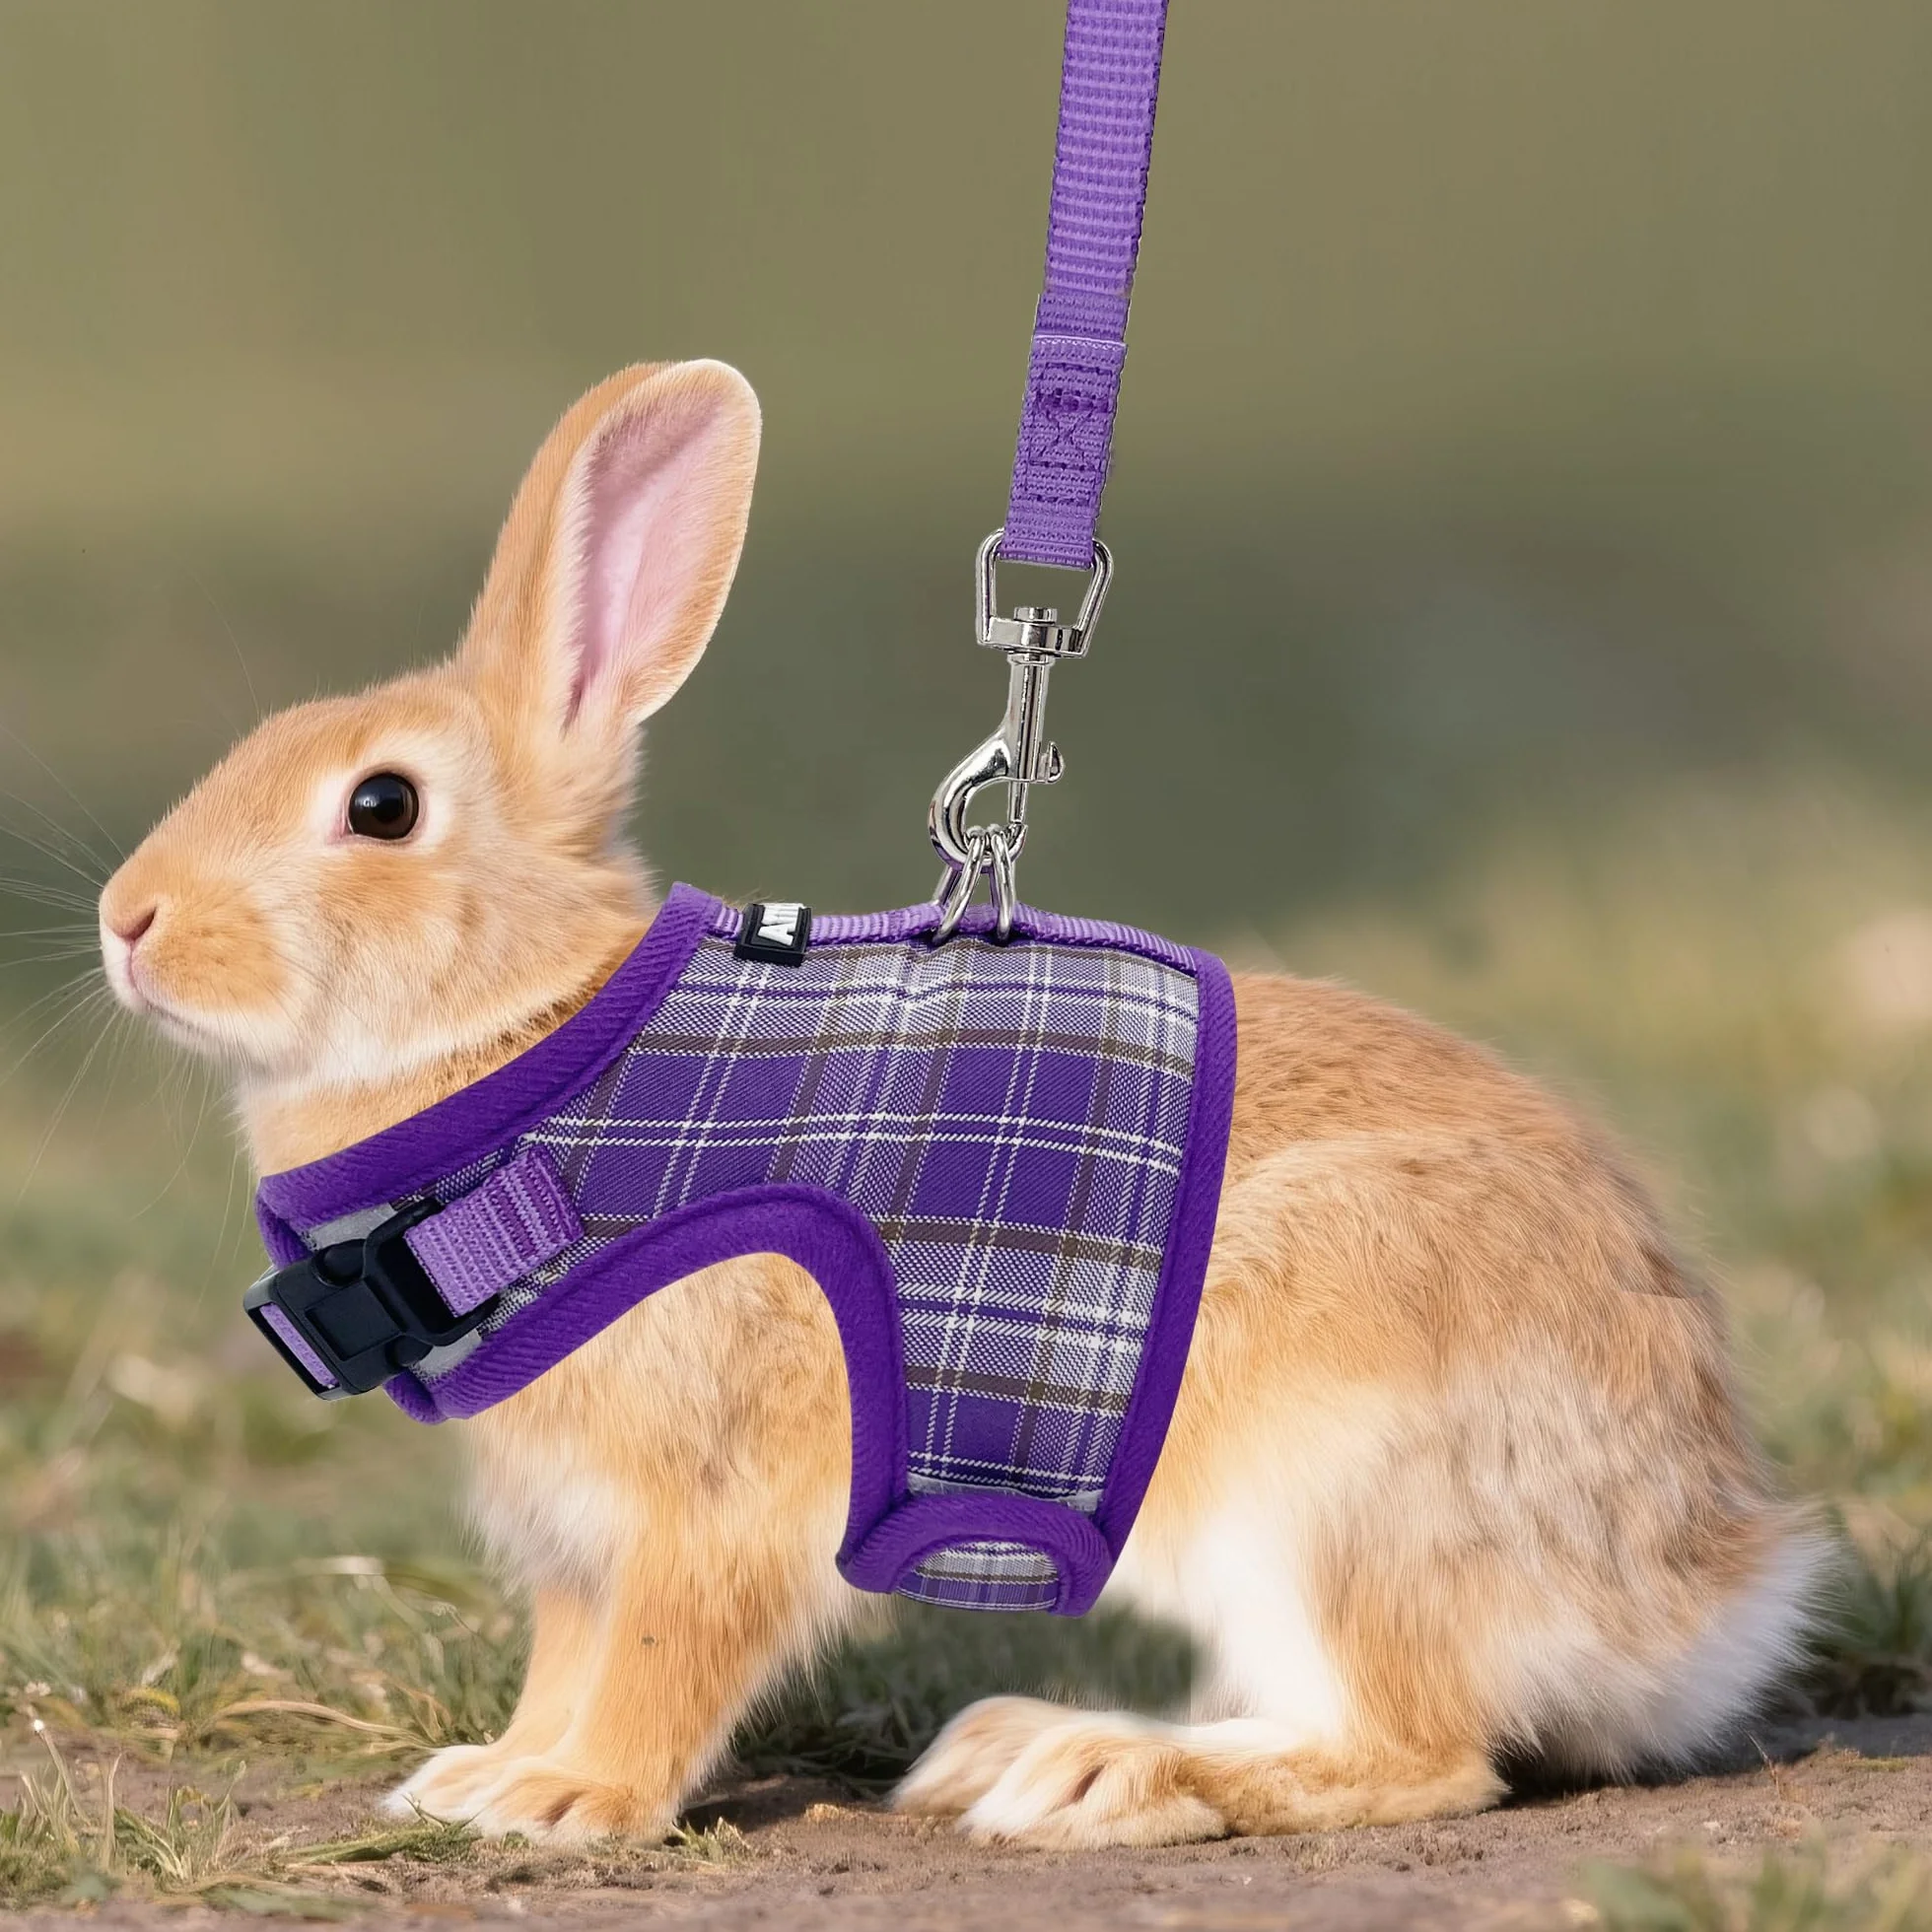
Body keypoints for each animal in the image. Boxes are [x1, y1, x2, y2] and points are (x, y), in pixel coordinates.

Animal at [97, 360, 1827, 1851]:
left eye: (381, 806)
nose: (128, 919)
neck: (540, 1036)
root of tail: (1705, 1582)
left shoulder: (718, 1494)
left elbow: (665, 1651)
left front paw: (572, 1802)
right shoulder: (573, 1533)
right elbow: (565, 1653)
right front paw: (490, 1774)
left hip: (1313, 1485)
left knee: (1420, 1751)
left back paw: (1100, 1773)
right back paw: (1018, 1743)